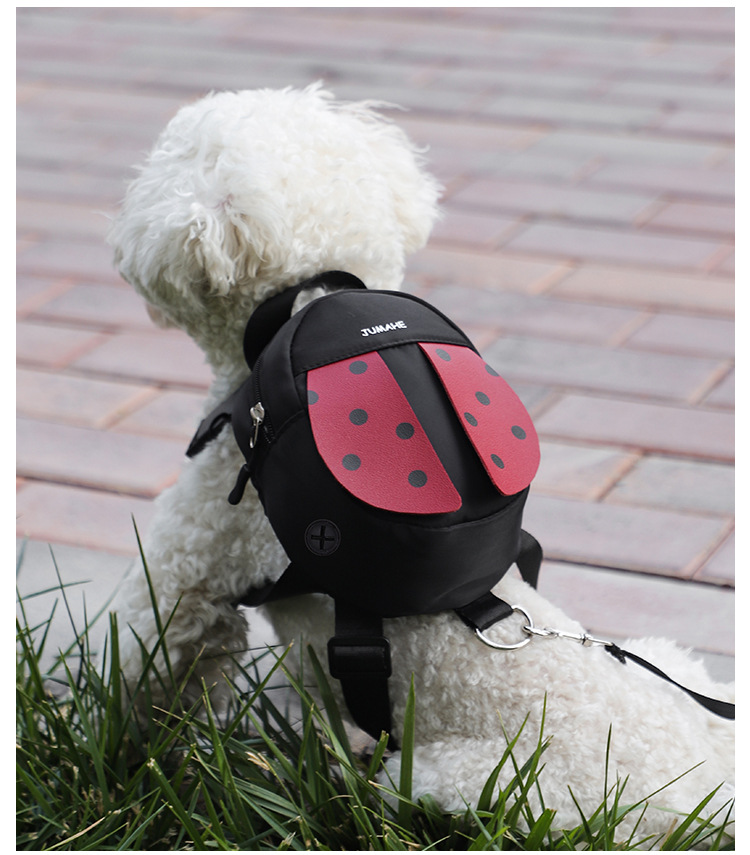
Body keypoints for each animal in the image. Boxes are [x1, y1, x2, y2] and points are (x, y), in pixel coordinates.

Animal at [108, 85, 734, 840]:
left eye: (167, 156)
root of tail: (699, 806)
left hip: (475, 785)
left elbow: (148, 660)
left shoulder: (194, 564)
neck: (302, 309)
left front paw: (126, 751)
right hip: (675, 668)